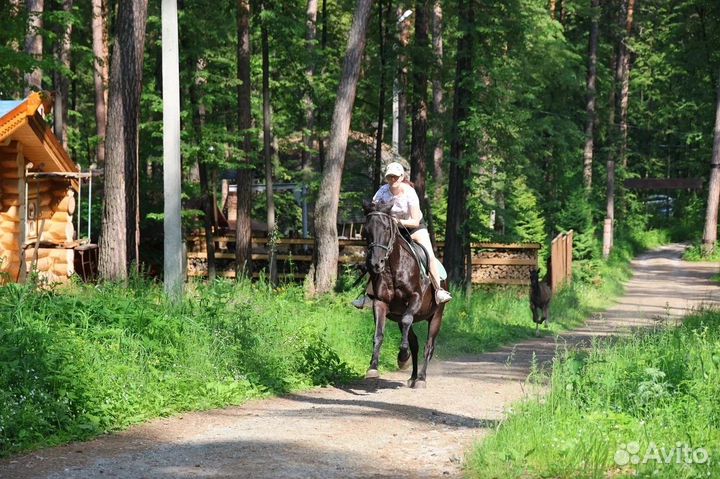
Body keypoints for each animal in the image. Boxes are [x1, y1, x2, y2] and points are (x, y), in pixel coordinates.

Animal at [360, 201, 444, 388]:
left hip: (436, 315)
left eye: (386, 228)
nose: (375, 264)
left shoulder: (415, 298)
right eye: (366, 230)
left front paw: (403, 358)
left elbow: (407, 320)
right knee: (415, 343)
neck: (393, 268)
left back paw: (420, 379)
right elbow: (378, 334)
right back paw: (412, 377)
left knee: (429, 346)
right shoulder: (380, 302)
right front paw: (373, 368)